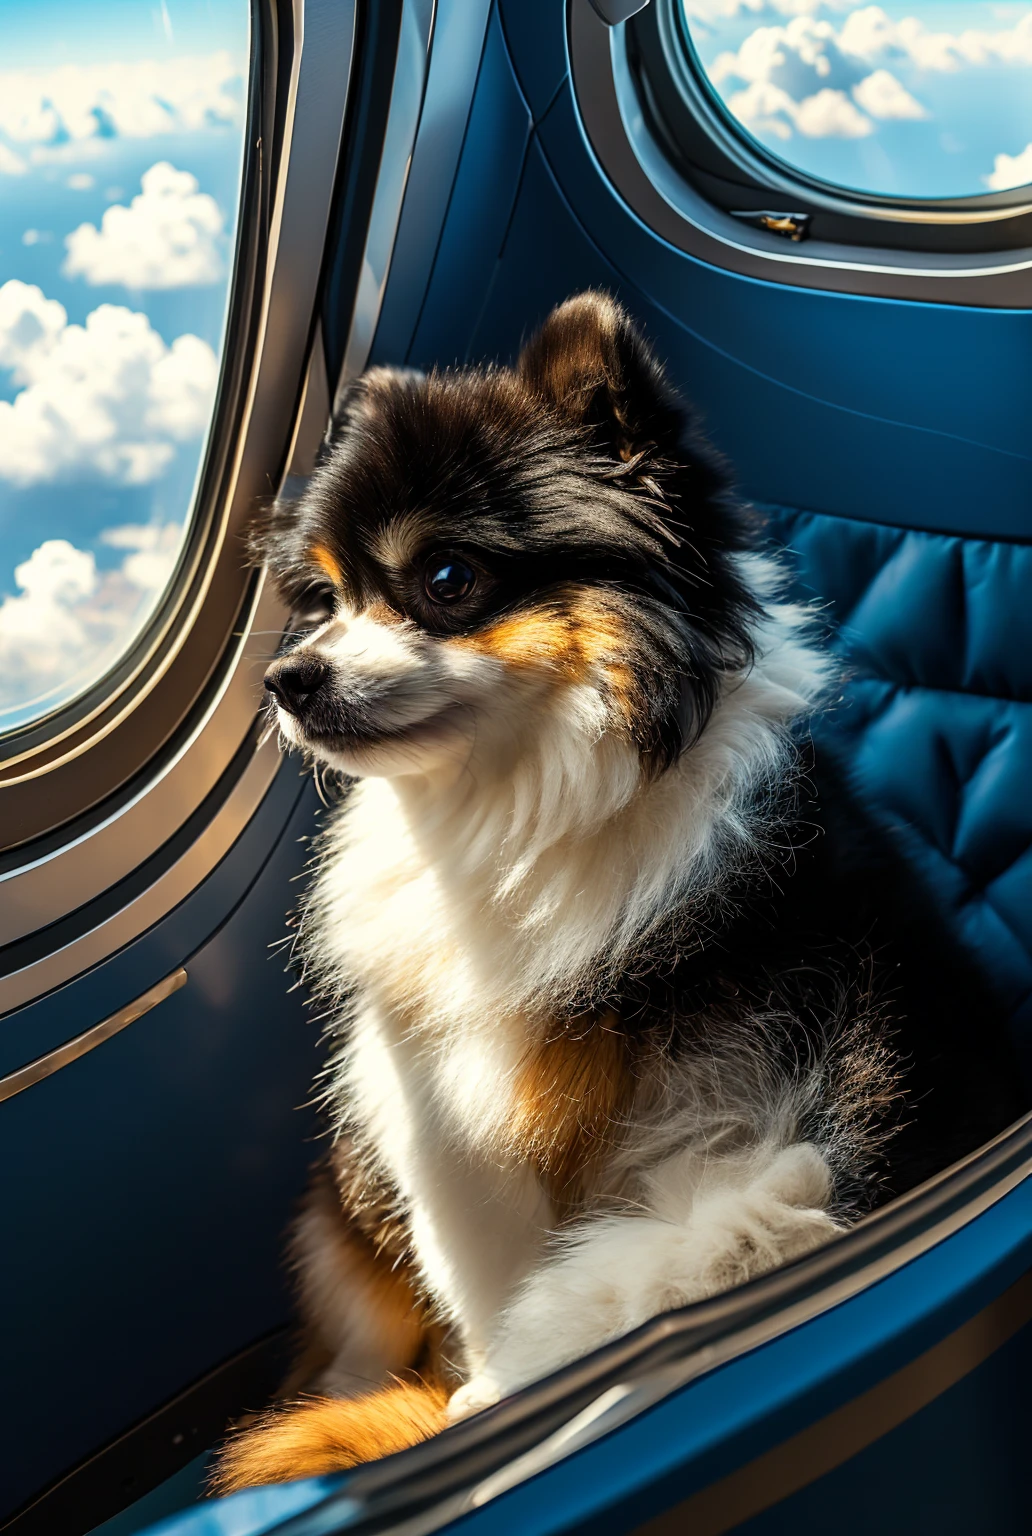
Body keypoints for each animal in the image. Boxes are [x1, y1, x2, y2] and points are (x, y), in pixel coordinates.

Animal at [211, 290, 1025, 1486]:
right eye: (325, 599)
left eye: (447, 580)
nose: (287, 678)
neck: (519, 810)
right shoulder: (442, 1109)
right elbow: (489, 1266)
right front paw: (478, 1396)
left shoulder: (715, 1115)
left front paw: (501, 1397)